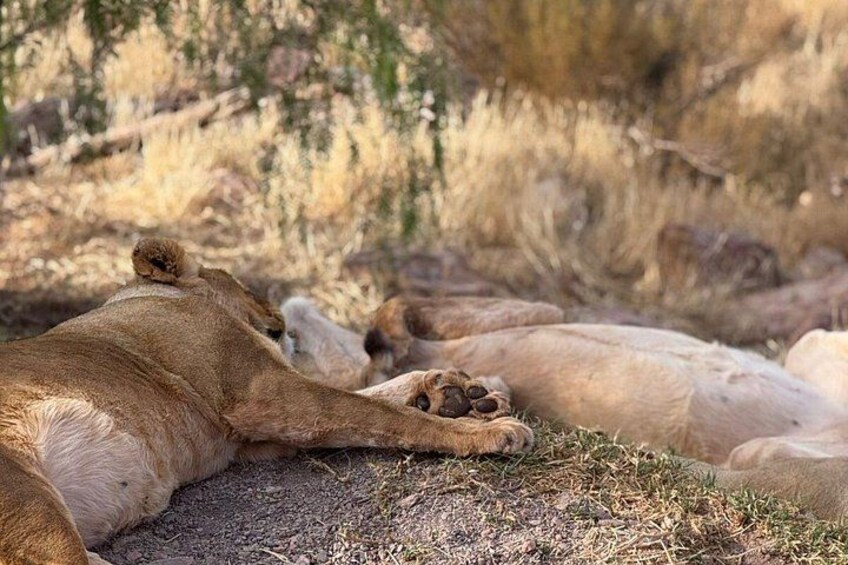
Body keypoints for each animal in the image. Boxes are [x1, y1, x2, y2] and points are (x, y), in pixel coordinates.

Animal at [0, 240, 532, 565]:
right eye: (245, 283)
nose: (283, 315)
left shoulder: (254, 439)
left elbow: (373, 399)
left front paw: (454, 392)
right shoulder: (265, 394)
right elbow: (382, 414)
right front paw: (487, 429)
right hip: (30, 504)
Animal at [281, 295, 848, 519]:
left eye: (294, 340)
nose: (285, 313)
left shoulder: (542, 309)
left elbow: (392, 309)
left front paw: (454, 394)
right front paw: (449, 401)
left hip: (810, 346)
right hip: (763, 443)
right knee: (761, 454)